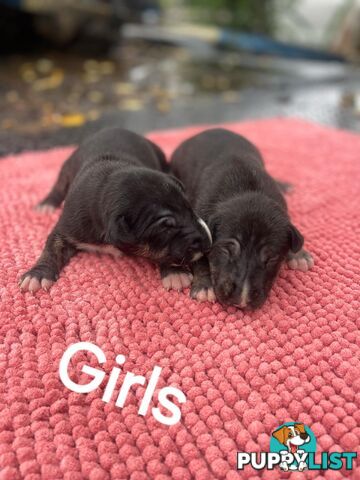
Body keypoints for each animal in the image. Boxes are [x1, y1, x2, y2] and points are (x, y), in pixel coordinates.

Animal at [19, 127, 211, 292]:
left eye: (190, 209)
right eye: (166, 227)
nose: (207, 241)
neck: (107, 184)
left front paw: (174, 272)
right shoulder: (68, 226)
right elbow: (52, 247)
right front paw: (37, 275)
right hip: (68, 167)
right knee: (59, 186)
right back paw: (47, 204)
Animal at [170, 127, 314, 310]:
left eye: (272, 258)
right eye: (227, 250)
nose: (241, 301)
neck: (246, 189)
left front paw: (298, 254)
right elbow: (200, 258)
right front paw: (204, 286)